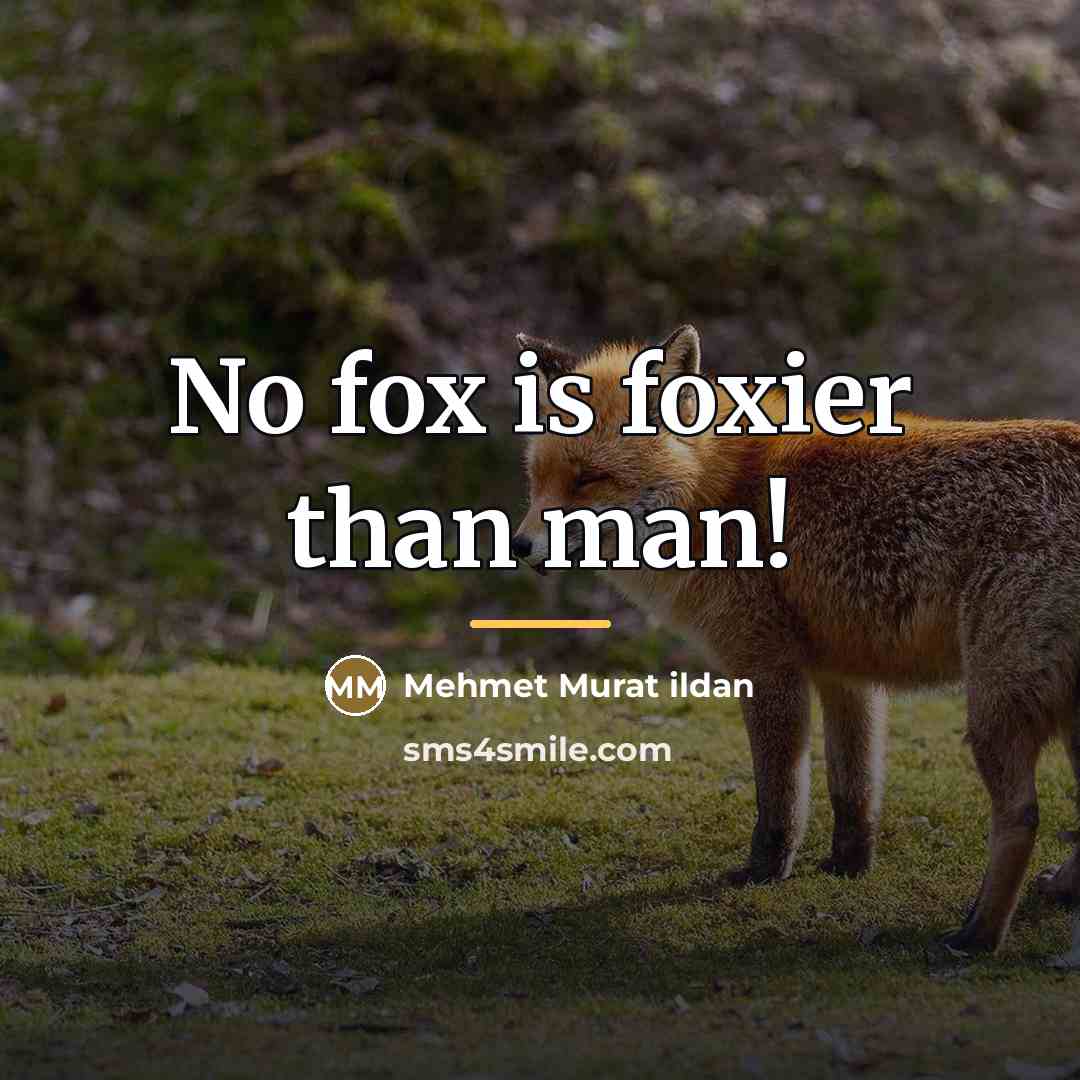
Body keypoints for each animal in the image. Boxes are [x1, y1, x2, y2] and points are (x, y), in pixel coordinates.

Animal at [511, 323, 1080, 954]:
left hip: (994, 704)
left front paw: (765, 872)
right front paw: (848, 867)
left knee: (1022, 816)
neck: (716, 493)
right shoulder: (845, 673)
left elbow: (779, 795)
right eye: (537, 481)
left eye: (588, 478)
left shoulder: (767, 664)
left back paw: (978, 934)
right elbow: (853, 788)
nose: (519, 545)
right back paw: (1058, 892)